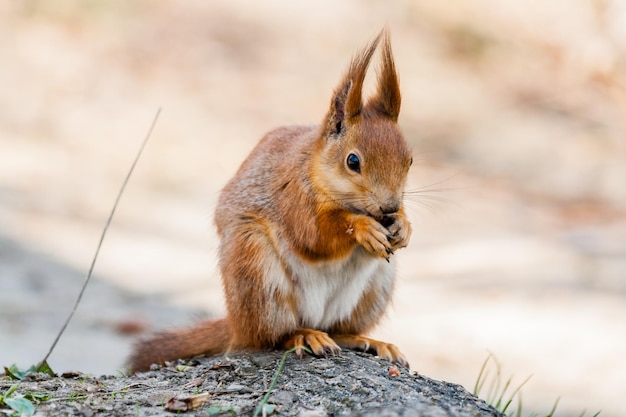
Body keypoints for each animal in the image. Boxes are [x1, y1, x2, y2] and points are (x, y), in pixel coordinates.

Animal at [127, 29, 412, 370]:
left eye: (410, 160)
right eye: (353, 161)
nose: (389, 207)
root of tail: (236, 324)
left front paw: (404, 227)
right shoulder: (293, 195)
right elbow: (315, 235)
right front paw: (363, 227)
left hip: (375, 289)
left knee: (337, 329)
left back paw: (368, 340)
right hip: (256, 268)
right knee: (270, 337)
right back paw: (304, 336)